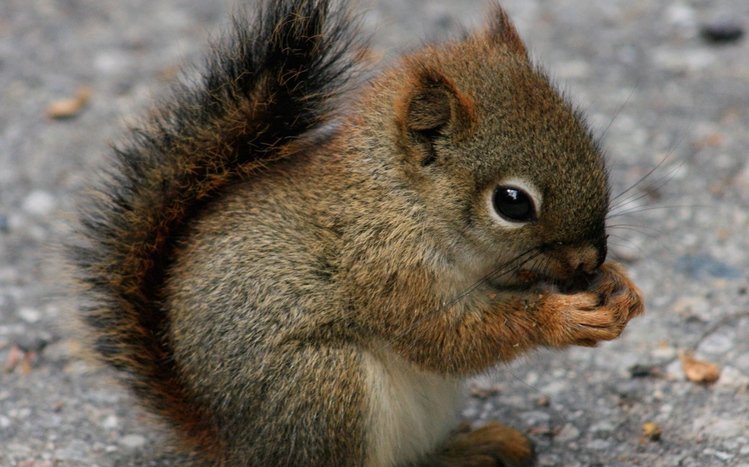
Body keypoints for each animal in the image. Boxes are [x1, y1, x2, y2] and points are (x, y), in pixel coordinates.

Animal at [72, 0, 644, 465]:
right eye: (512, 202)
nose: (590, 260)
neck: (403, 200)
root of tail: (230, 446)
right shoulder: (383, 267)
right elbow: (446, 337)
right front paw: (563, 318)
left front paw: (620, 286)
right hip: (323, 389)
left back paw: (474, 447)